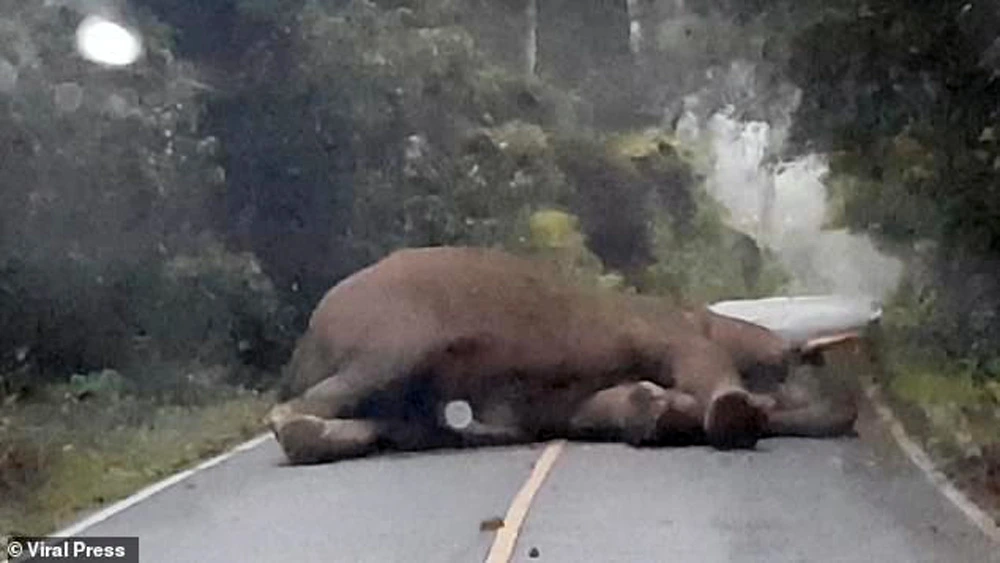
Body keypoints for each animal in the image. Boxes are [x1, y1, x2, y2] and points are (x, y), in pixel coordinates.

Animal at [266, 245, 860, 464]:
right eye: (789, 365)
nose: (850, 409)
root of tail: (305, 340)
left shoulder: (578, 403)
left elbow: (616, 405)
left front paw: (660, 412)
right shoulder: (669, 334)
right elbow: (702, 368)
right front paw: (731, 414)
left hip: (395, 390)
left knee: (378, 423)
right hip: (391, 343)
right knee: (292, 413)